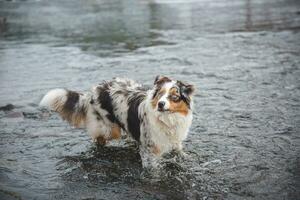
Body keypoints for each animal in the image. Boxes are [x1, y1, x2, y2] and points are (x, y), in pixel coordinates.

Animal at [39, 76, 195, 166]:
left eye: (174, 97)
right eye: (160, 94)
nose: (160, 104)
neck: (168, 119)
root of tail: (93, 91)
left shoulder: (175, 139)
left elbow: (179, 151)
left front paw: (185, 158)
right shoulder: (150, 149)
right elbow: (153, 169)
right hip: (110, 129)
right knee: (99, 138)